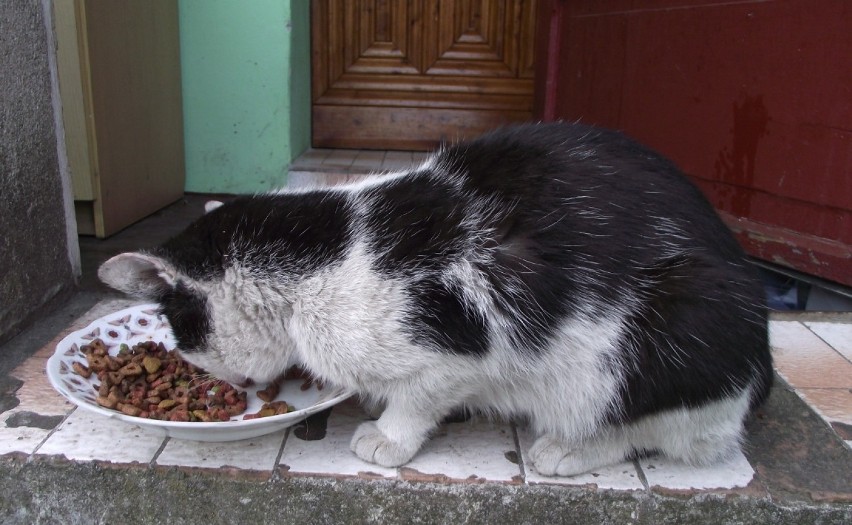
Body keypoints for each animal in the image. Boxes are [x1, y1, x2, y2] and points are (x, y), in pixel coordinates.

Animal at [98, 123, 772, 474]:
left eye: (184, 337)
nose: (227, 386)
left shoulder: (458, 354)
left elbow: (418, 398)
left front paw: (388, 437)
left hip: (671, 326)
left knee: (668, 432)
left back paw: (569, 448)